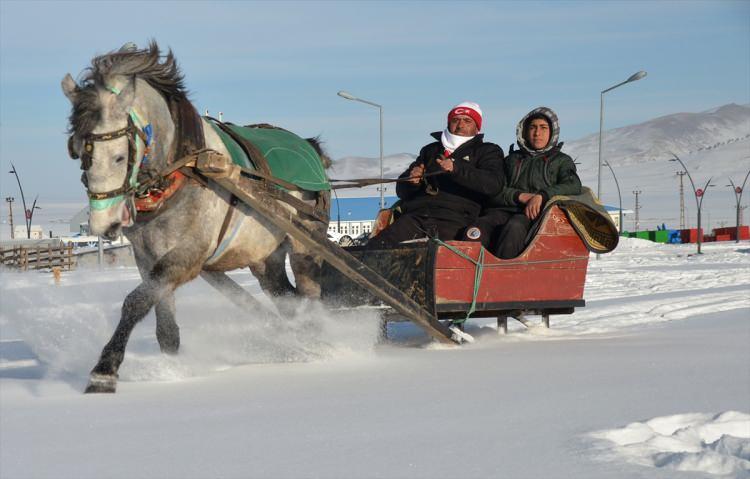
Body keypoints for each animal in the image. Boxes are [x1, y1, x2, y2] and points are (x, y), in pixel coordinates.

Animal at [63, 41, 334, 394]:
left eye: (120, 156)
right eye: (79, 152)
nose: (103, 225)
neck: (184, 167)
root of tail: (312, 148)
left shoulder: (188, 254)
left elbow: (135, 302)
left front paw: (104, 372)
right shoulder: (146, 256)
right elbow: (164, 325)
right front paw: (174, 371)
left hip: (306, 245)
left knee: (310, 297)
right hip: (265, 257)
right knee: (285, 298)